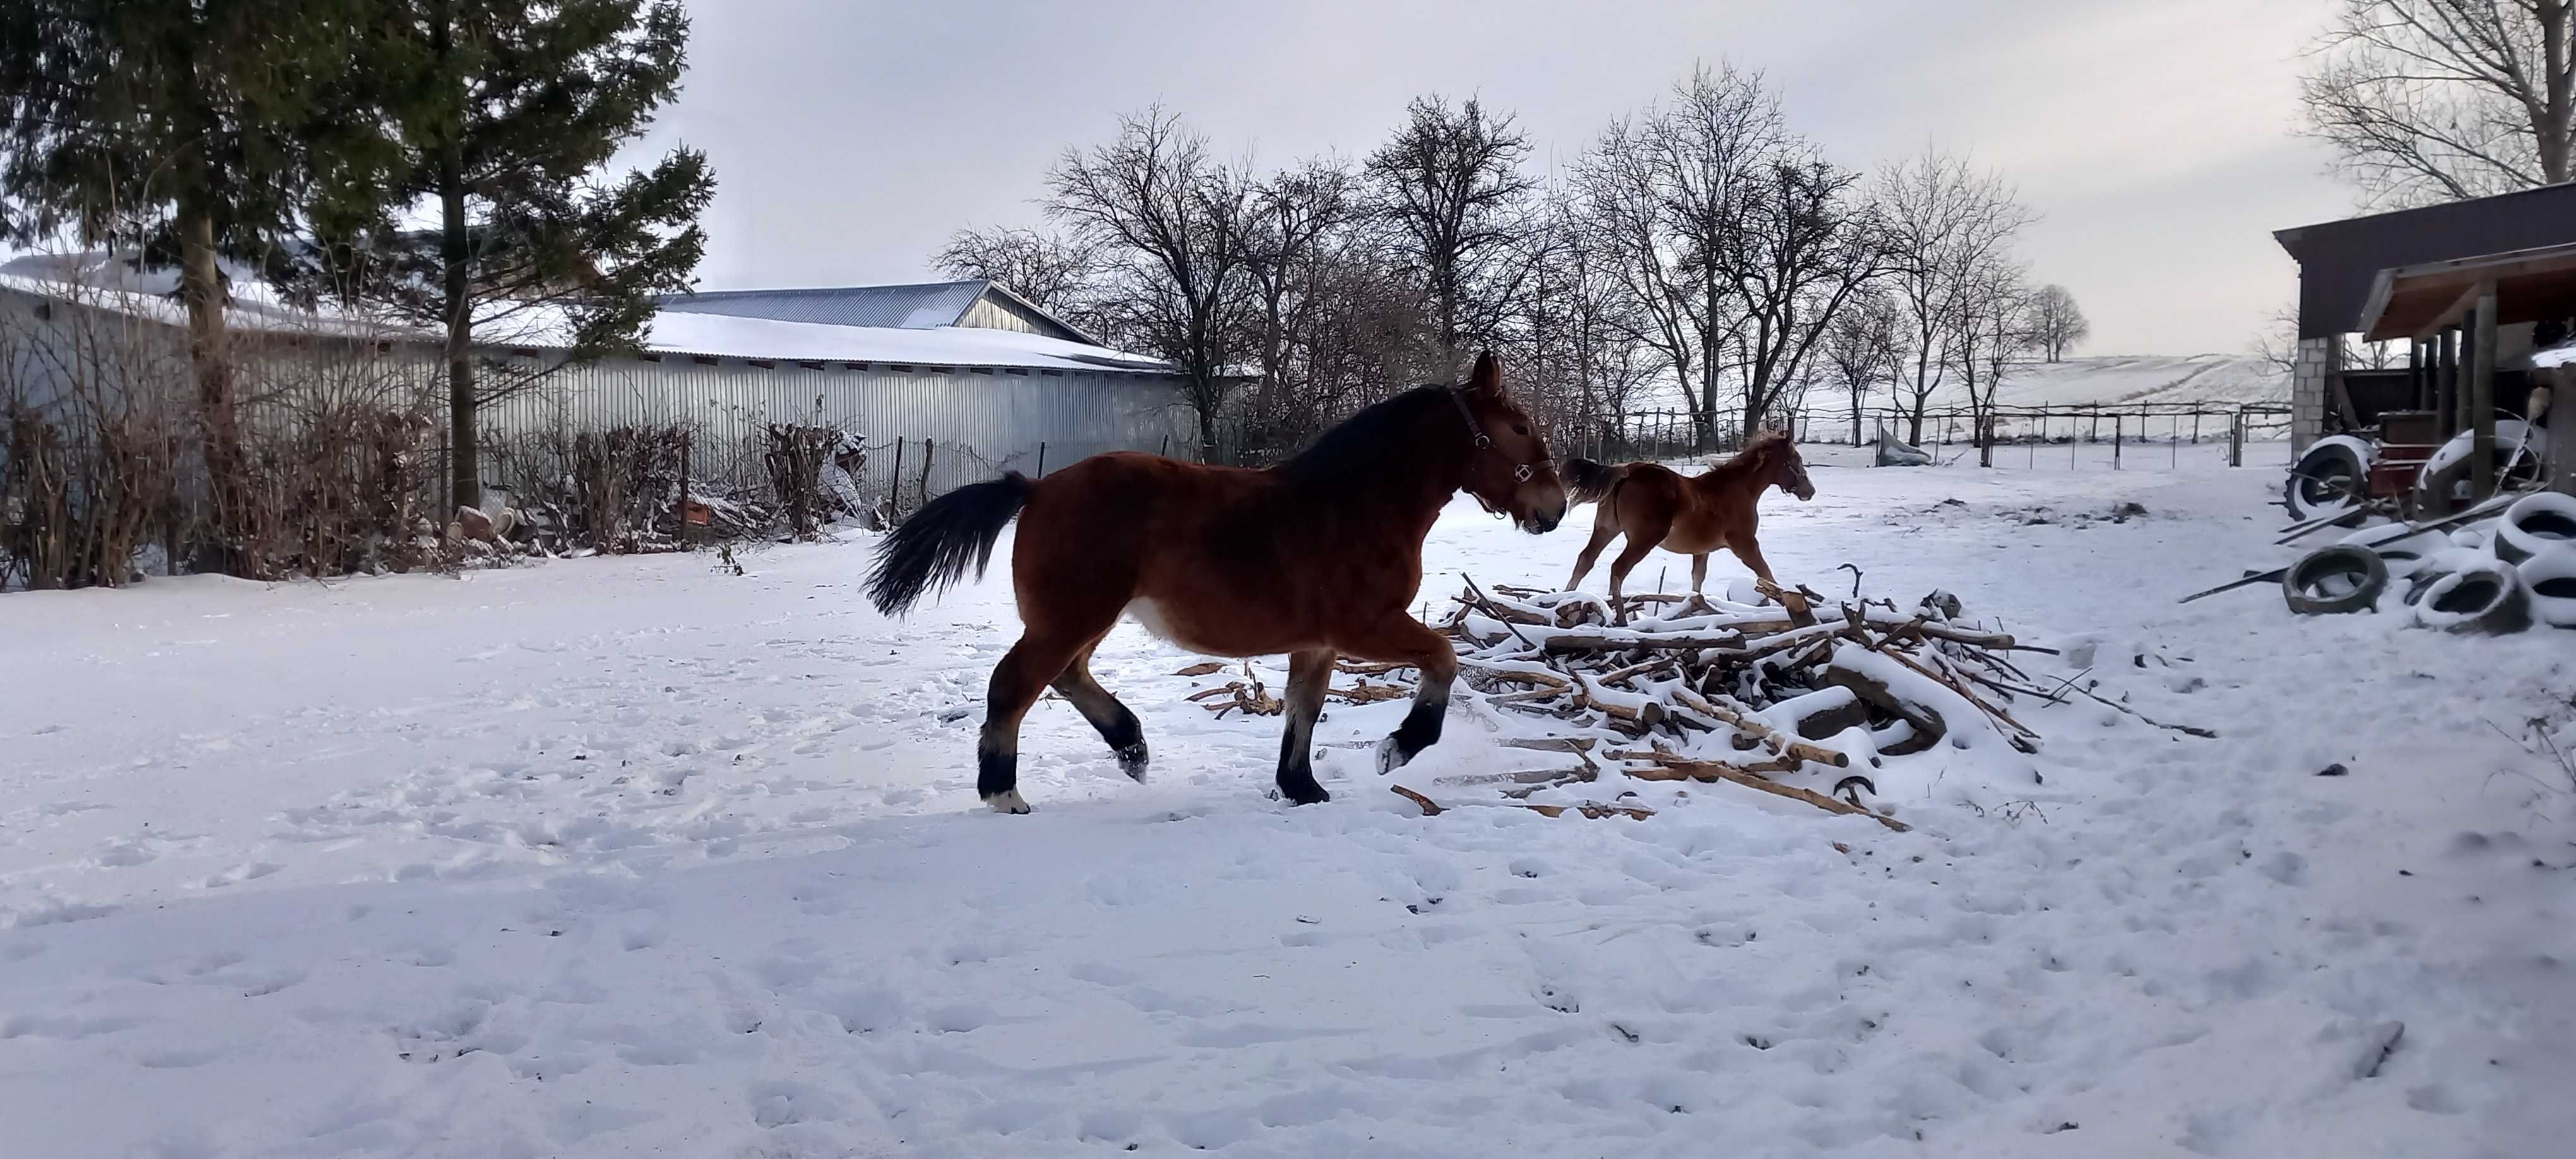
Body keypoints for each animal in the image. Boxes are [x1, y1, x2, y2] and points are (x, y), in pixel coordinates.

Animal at [865, 352, 1556, 814]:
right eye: (1521, 428)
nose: (1551, 507)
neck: (1358, 503)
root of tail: (1034, 487)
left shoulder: (1318, 643)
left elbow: (1303, 711)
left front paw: (1302, 789)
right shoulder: (1368, 626)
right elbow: (1443, 657)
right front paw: (1398, 748)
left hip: (1084, 619)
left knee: (1065, 676)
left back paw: (1132, 747)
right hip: (1072, 617)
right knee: (1015, 686)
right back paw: (1005, 793)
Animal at [1546, 430, 1813, 621]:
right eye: (1796, 459)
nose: (1809, 491)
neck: (1739, 490)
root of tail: (1628, 471)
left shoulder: (1702, 551)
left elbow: (1697, 582)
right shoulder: (1745, 544)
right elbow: (1766, 574)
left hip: (1606, 529)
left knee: (1585, 560)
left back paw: (1564, 602)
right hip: (1643, 539)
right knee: (1618, 569)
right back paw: (1620, 619)